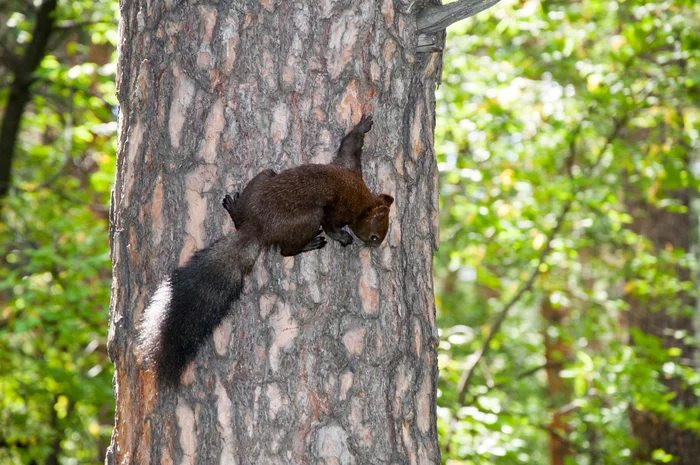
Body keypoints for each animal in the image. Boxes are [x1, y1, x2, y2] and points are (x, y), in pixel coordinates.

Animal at [141, 114, 394, 386]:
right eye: (375, 235)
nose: (376, 245)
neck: (363, 199)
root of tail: (256, 228)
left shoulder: (349, 167)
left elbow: (349, 145)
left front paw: (362, 126)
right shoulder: (339, 207)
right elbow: (332, 224)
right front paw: (343, 238)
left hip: (263, 177)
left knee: (243, 216)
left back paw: (233, 208)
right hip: (306, 219)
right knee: (286, 250)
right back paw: (308, 244)